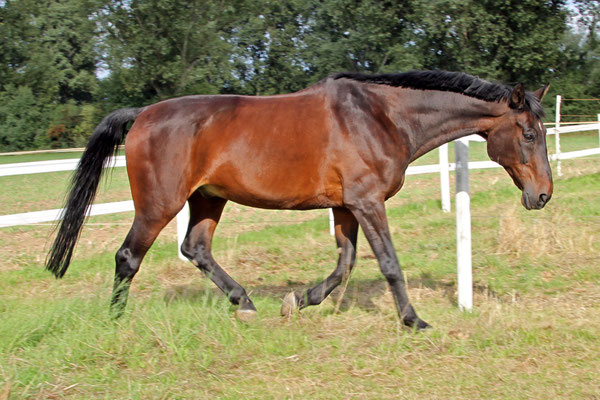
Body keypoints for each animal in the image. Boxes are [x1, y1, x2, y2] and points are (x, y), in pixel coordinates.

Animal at [47, 70, 552, 330]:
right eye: (529, 134)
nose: (543, 195)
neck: (381, 116)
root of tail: (142, 115)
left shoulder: (346, 206)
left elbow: (344, 265)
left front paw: (298, 302)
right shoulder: (368, 202)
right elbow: (389, 263)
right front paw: (414, 320)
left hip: (208, 200)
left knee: (195, 248)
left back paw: (245, 303)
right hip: (159, 205)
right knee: (128, 256)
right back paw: (116, 320)